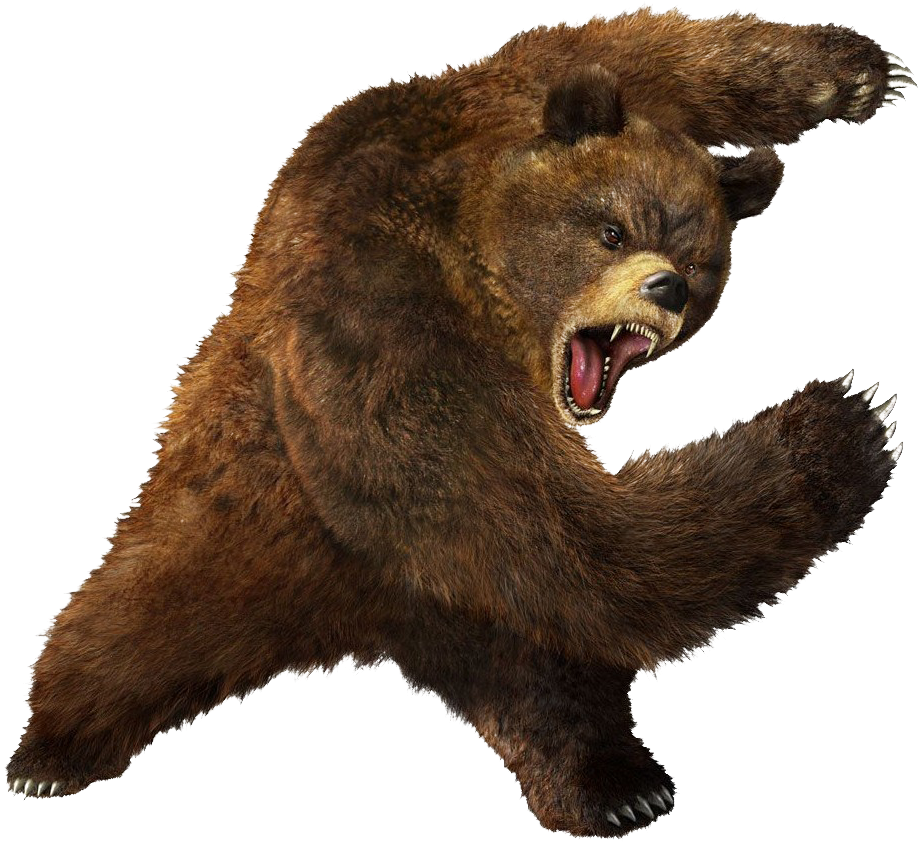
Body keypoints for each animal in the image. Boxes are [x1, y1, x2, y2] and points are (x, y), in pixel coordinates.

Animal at [6, 6, 908, 838]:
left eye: (701, 260)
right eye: (610, 229)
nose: (667, 288)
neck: (480, 256)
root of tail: (354, 623)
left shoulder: (501, 99)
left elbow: (641, 47)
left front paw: (863, 74)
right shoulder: (381, 314)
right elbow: (565, 520)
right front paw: (844, 421)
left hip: (444, 599)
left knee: (541, 670)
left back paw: (616, 784)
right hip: (234, 529)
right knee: (133, 620)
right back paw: (47, 753)